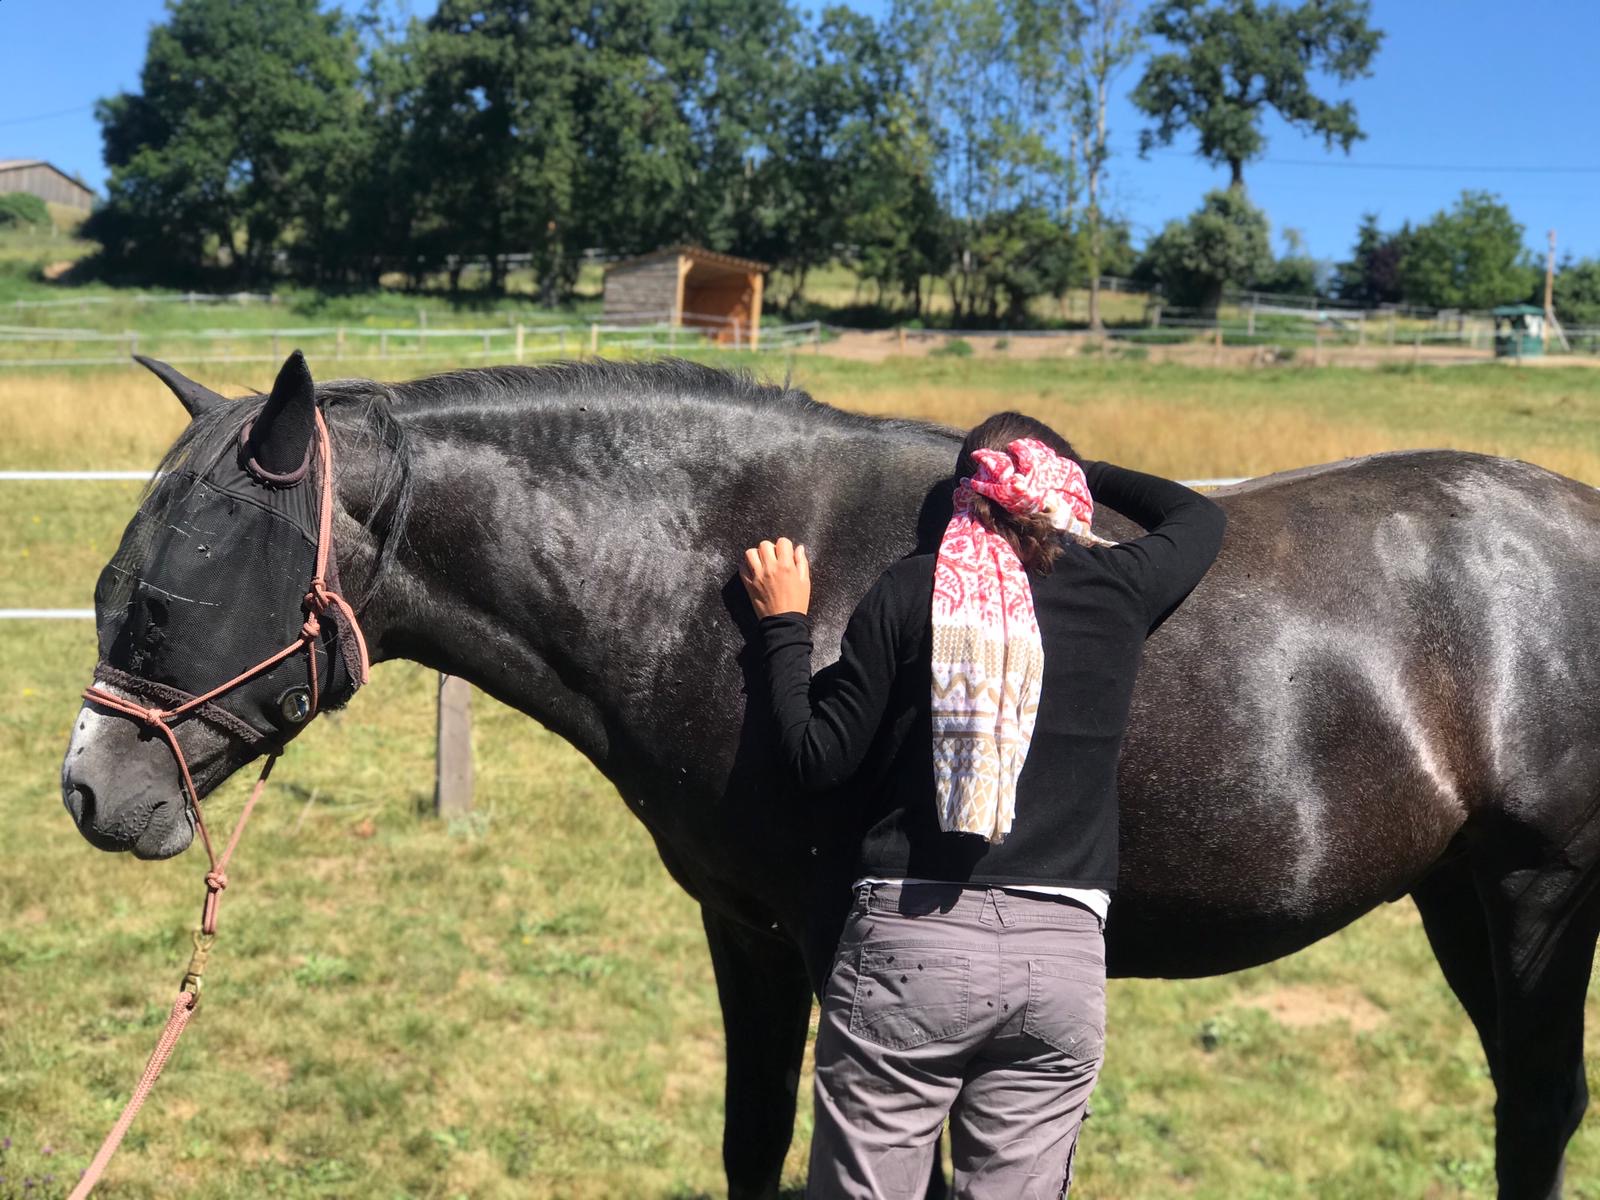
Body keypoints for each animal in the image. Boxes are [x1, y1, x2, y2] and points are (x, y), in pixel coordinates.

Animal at [62, 352, 1600, 1200]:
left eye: (166, 602)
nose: (91, 793)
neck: (711, 575)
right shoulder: (743, 931)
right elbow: (750, 1145)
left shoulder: (833, 947)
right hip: (1456, 899)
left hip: (1537, 899)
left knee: (1539, 1105)